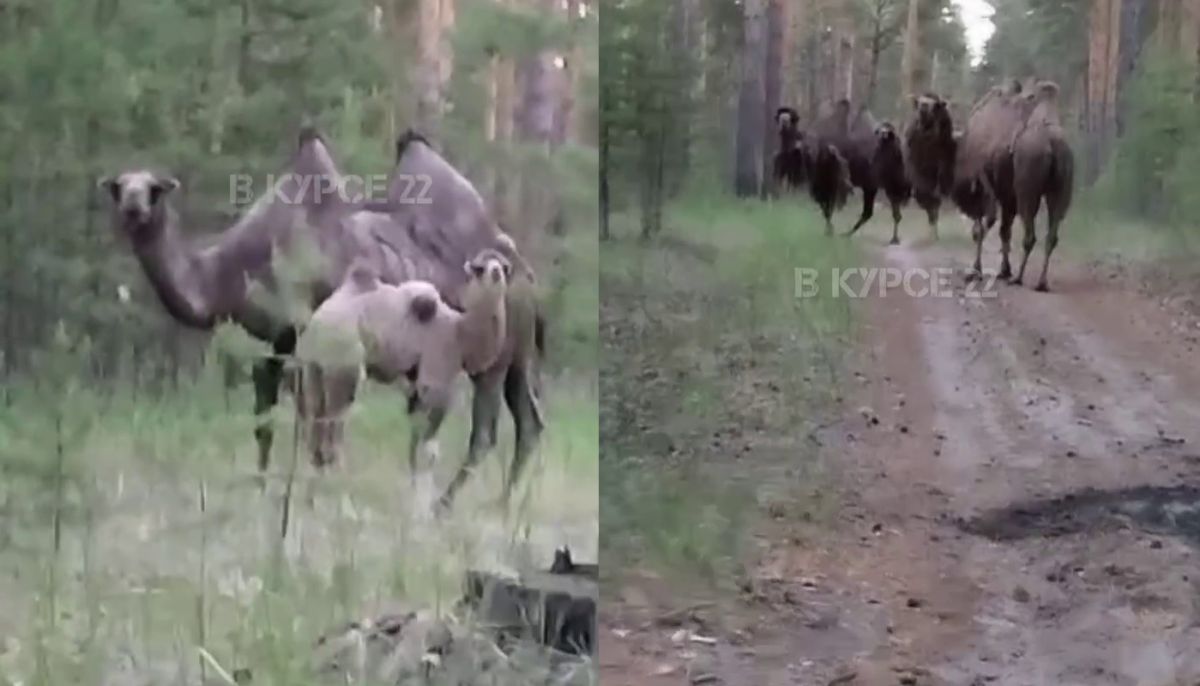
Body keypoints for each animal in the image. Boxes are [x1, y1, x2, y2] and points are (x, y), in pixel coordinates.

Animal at [102, 127, 544, 508]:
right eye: (120, 187)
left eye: (154, 189)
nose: (134, 207)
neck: (231, 272)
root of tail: (523, 270)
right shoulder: (272, 346)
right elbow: (265, 423)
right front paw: (262, 491)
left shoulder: (304, 338)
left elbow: (309, 423)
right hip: (518, 358)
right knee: (529, 421)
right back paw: (503, 505)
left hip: (494, 356)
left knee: (484, 431)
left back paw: (445, 506)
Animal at [1008, 80, 1075, 292]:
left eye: (1027, 96)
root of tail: (1052, 148)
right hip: (1062, 189)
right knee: (1051, 236)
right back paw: (1042, 282)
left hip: (1027, 190)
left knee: (1030, 235)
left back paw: (1018, 277)